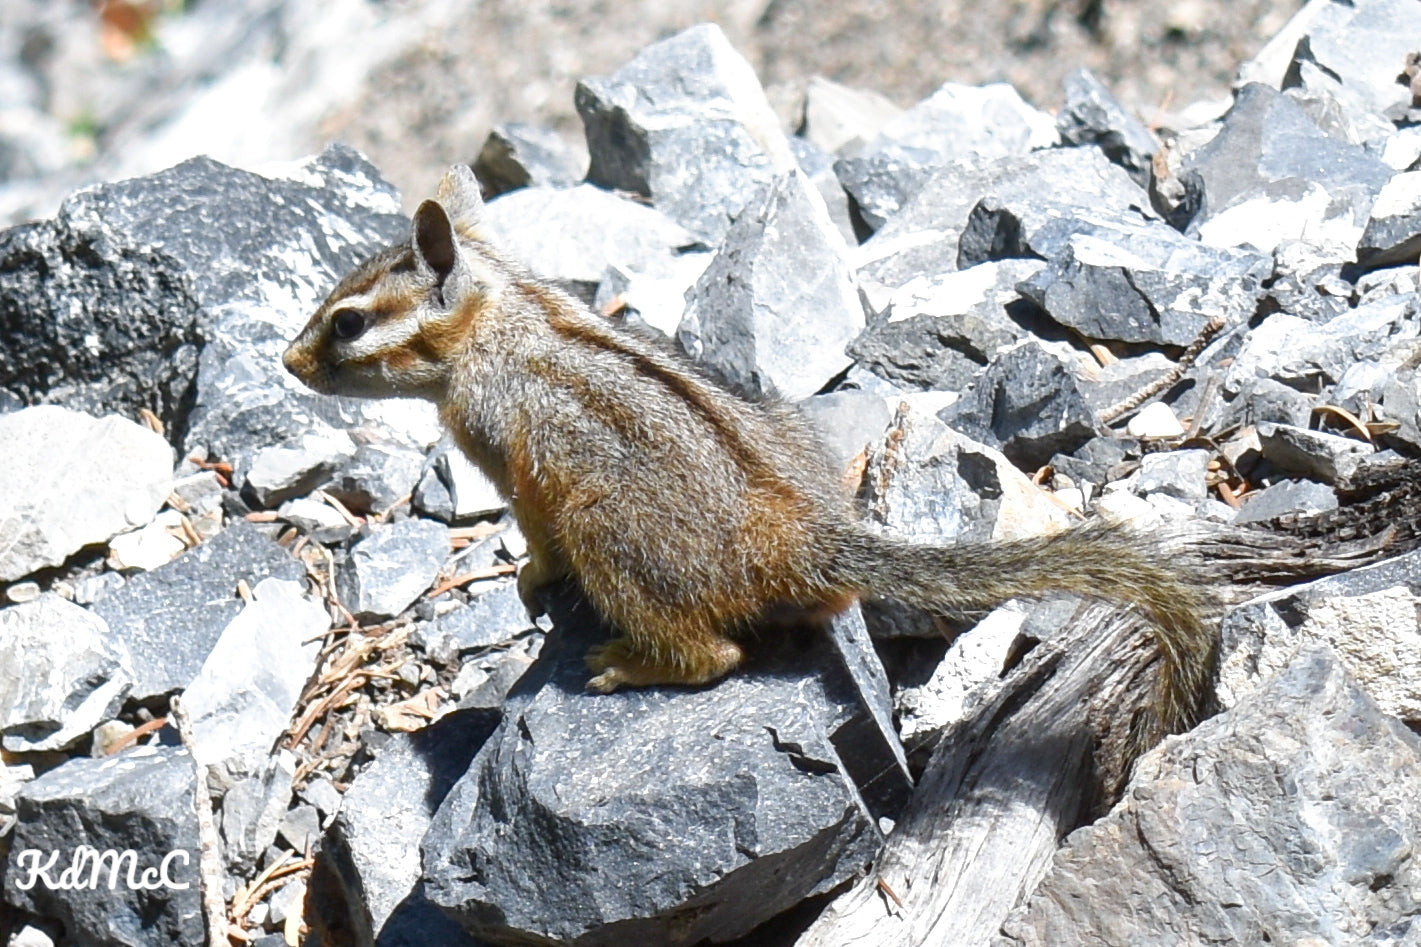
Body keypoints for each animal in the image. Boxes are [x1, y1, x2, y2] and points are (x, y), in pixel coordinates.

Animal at [283, 164, 1216, 745]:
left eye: (348, 322)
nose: (288, 363)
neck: (503, 321)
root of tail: (801, 538)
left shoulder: (505, 462)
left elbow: (533, 533)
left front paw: (528, 579)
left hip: (611, 541)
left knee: (713, 657)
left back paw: (621, 665)